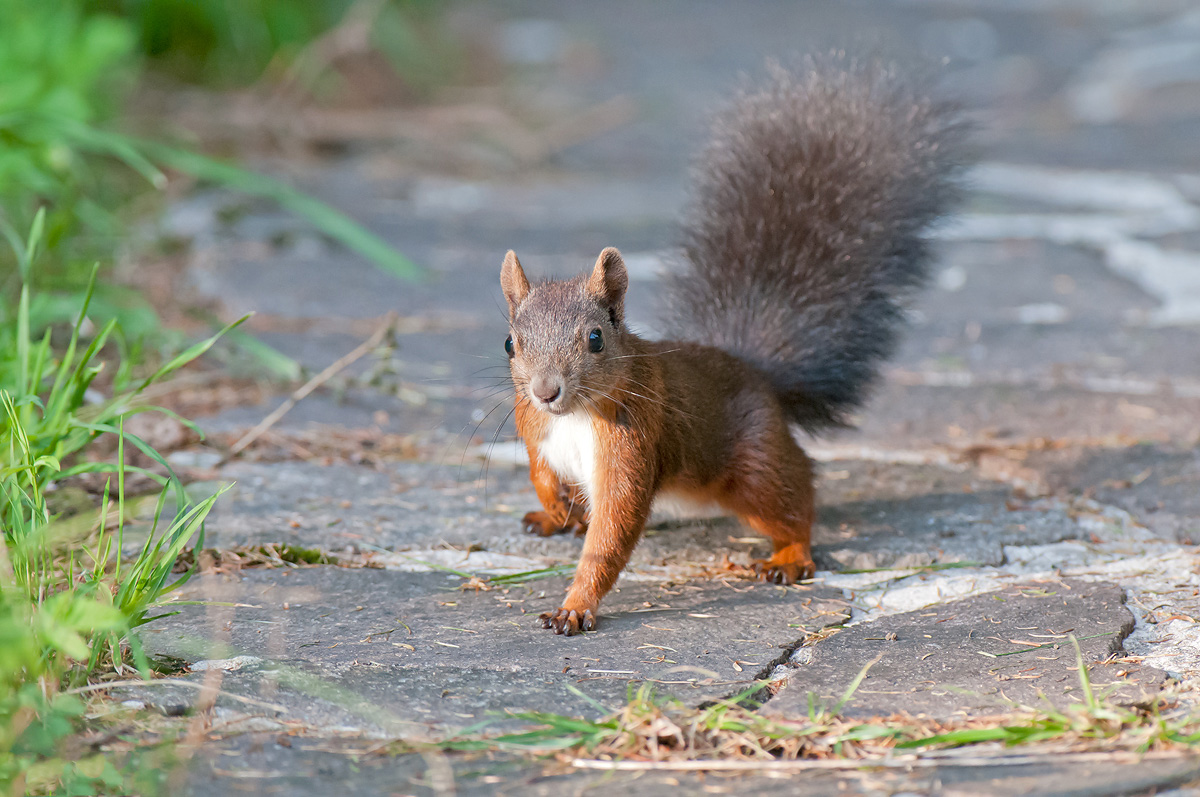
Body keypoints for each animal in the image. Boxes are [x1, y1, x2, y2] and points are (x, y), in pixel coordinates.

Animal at [498, 55, 969, 635]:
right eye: (510, 344)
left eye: (595, 339)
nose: (545, 391)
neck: (572, 418)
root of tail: (756, 371)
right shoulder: (533, 431)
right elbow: (543, 477)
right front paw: (555, 509)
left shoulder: (632, 445)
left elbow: (612, 532)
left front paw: (576, 604)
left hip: (756, 466)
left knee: (795, 498)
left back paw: (790, 556)